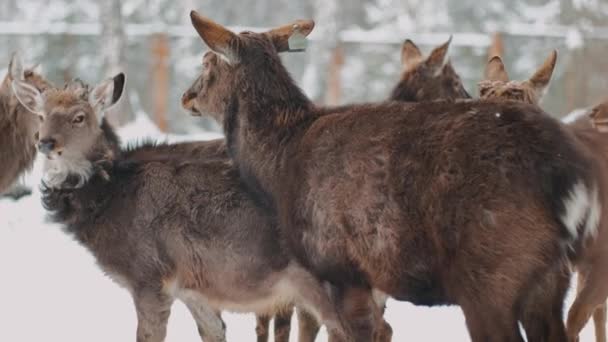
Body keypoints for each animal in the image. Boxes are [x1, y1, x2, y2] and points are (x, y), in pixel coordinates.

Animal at [10, 73, 352, 342]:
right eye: (40, 115)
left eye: (79, 116)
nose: (46, 142)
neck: (109, 199)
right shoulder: (191, 287)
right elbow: (214, 331)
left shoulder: (149, 275)